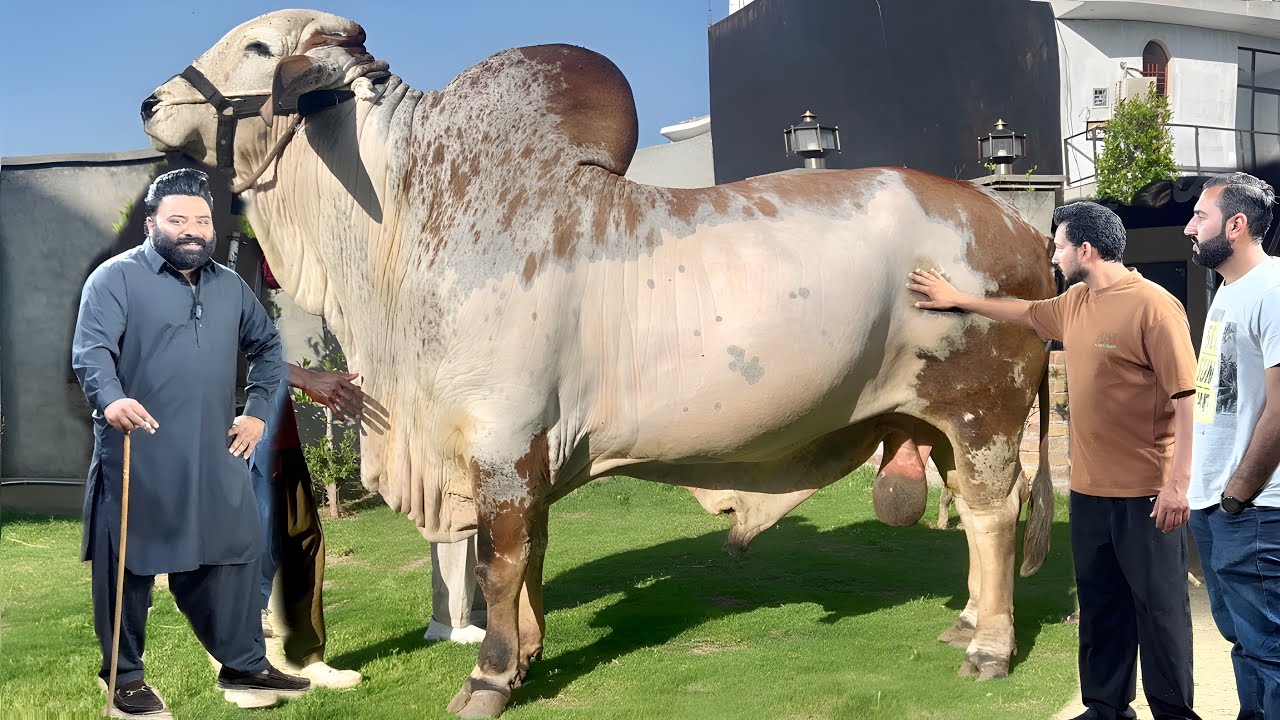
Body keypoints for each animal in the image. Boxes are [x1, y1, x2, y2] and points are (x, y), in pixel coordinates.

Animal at [141, 10, 1054, 717]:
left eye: (259, 45)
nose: (151, 102)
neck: (404, 217)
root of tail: (1017, 227)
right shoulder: (525, 453)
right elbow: (531, 562)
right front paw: (528, 658)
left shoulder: (502, 443)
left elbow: (501, 565)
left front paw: (488, 679)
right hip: (941, 422)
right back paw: (968, 620)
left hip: (982, 410)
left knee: (992, 515)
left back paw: (990, 647)